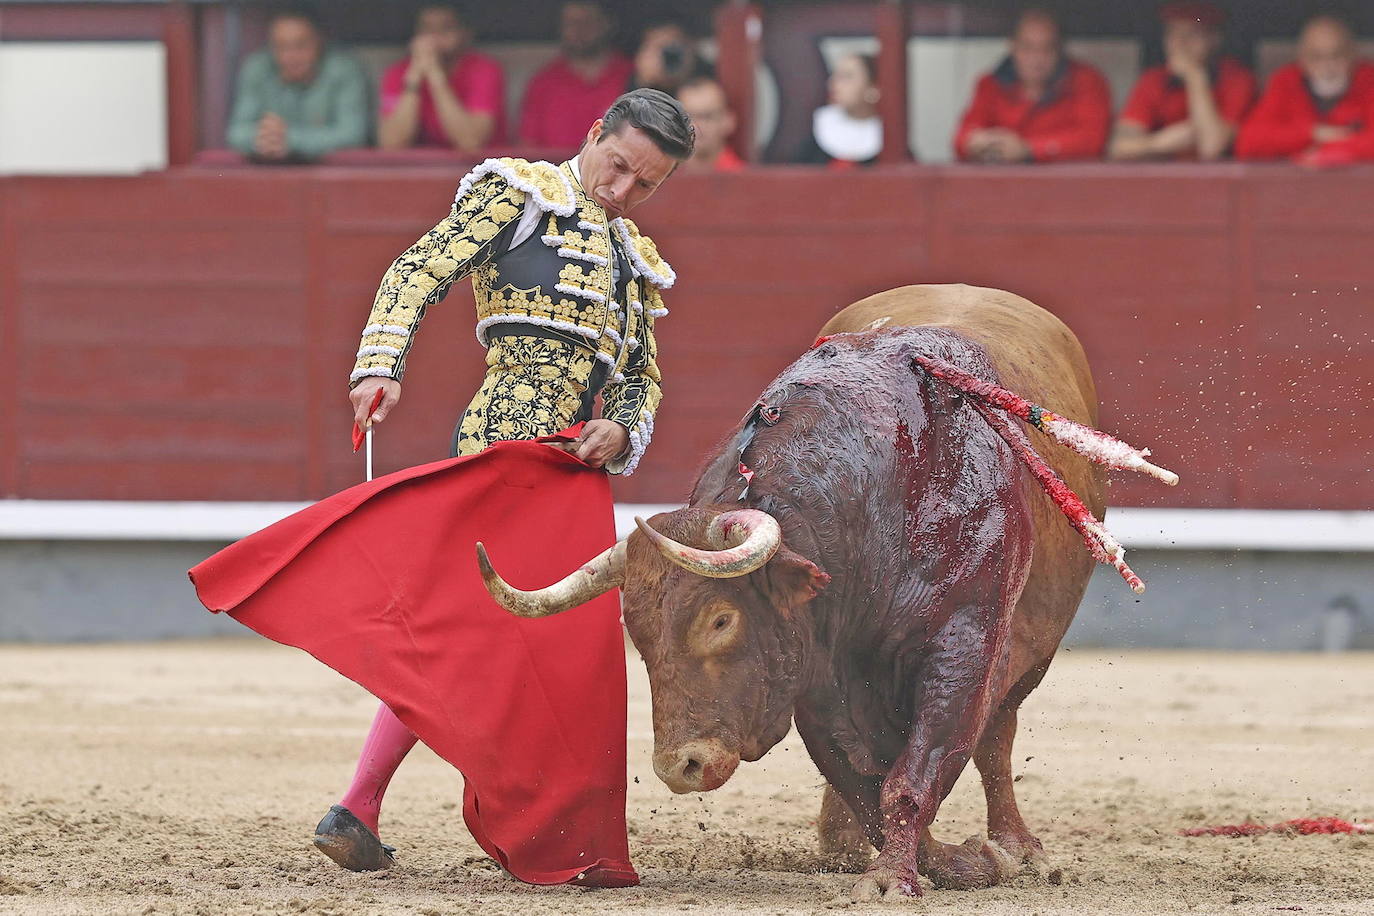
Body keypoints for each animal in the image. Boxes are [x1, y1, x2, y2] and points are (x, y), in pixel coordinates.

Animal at [478, 284, 1176, 895]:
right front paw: (941, 861)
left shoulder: (965, 644)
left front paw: (910, 877)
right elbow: (859, 778)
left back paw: (1018, 847)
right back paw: (843, 846)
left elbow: (921, 768)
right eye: (638, 634)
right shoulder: (813, 668)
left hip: (1032, 650)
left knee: (996, 739)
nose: (682, 767)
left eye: (721, 620)